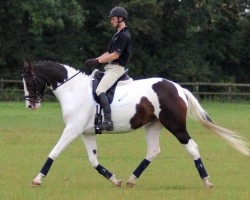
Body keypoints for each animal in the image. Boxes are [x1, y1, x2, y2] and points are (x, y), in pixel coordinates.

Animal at [22, 60, 249, 188]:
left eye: (30, 81)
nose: (31, 105)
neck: (74, 90)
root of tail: (177, 88)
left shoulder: (72, 130)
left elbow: (54, 152)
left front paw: (37, 179)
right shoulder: (87, 132)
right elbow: (94, 161)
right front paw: (114, 180)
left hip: (175, 125)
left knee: (192, 147)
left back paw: (206, 181)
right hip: (153, 125)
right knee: (153, 151)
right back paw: (131, 179)